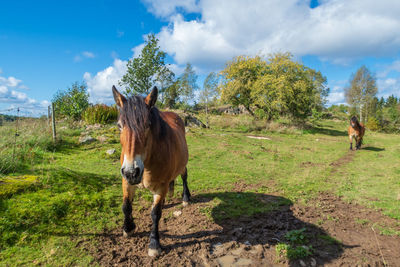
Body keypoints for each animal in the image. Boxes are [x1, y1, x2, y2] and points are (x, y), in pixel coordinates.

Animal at [111, 86, 191, 258]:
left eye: (147, 125)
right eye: (119, 126)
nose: (132, 171)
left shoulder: (161, 186)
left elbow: (155, 214)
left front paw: (154, 244)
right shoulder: (126, 181)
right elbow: (126, 206)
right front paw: (128, 228)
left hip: (182, 165)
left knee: (184, 175)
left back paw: (186, 198)